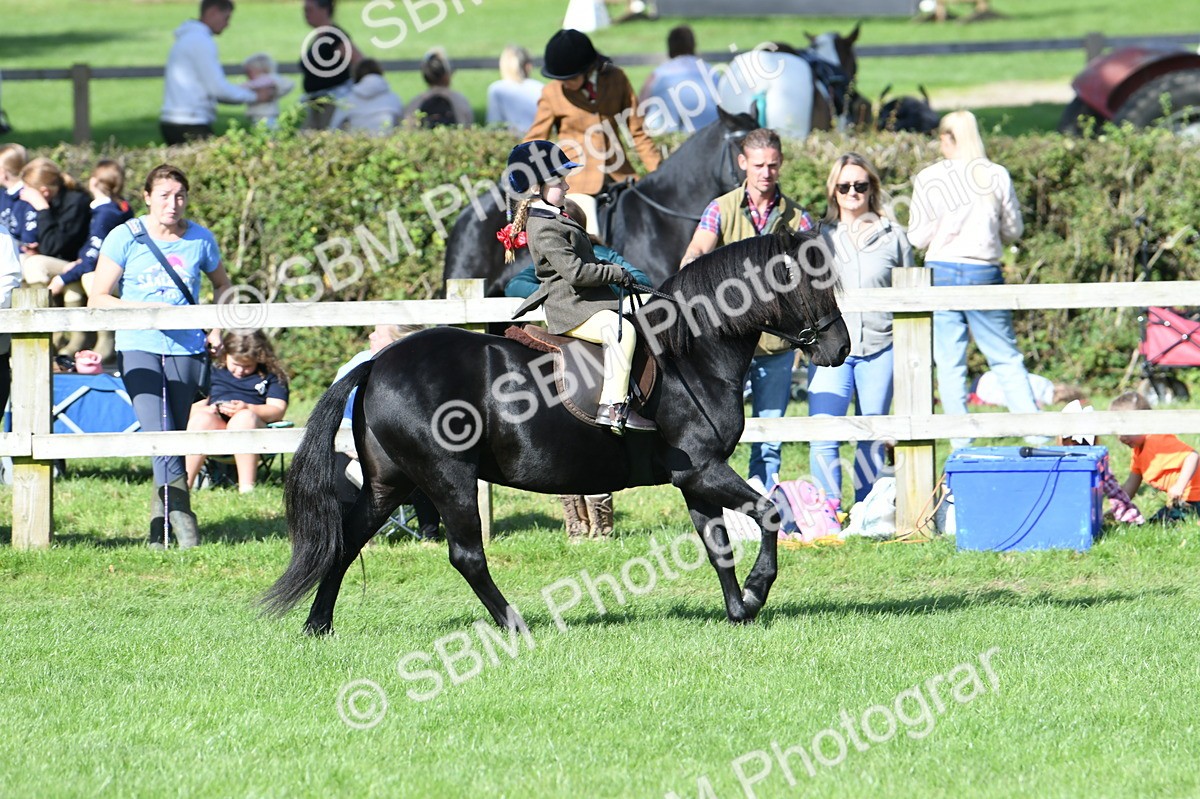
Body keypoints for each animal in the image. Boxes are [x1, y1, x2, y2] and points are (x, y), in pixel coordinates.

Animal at [263, 230, 850, 634]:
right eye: (808, 283)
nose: (840, 348)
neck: (692, 351)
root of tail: (378, 363)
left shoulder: (695, 479)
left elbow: (717, 545)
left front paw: (739, 609)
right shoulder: (705, 469)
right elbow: (768, 512)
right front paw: (757, 591)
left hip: (391, 483)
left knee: (347, 540)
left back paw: (318, 626)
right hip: (447, 478)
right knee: (466, 555)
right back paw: (514, 624)